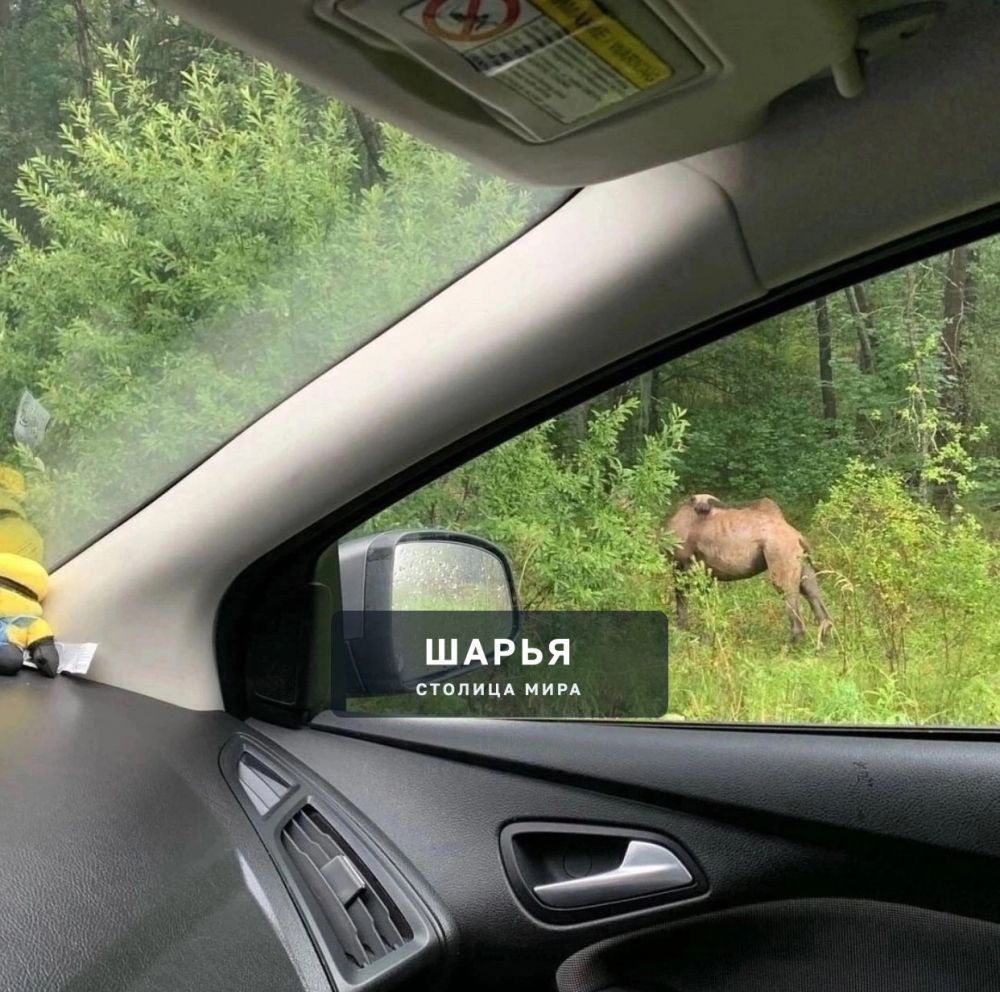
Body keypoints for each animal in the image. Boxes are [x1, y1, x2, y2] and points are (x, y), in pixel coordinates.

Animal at [666, 494, 833, 646]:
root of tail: (798, 536)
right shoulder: (703, 572)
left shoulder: (682, 565)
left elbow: (683, 603)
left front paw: (683, 634)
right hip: (803, 563)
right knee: (814, 596)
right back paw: (821, 645)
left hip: (781, 554)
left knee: (791, 602)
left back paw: (788, 649)